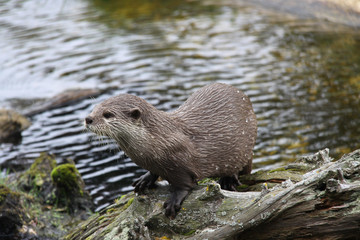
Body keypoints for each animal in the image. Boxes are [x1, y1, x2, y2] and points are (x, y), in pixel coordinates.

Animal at [86, 83, 258, 218]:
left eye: (108, 114)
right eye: (94, 108)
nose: (88, 119)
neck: (156, 141)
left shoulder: (180, 161)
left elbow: (185, 184)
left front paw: (174, 201)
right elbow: (154, 172)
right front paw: (145, 179)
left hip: (244, 146)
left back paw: (228, 180)